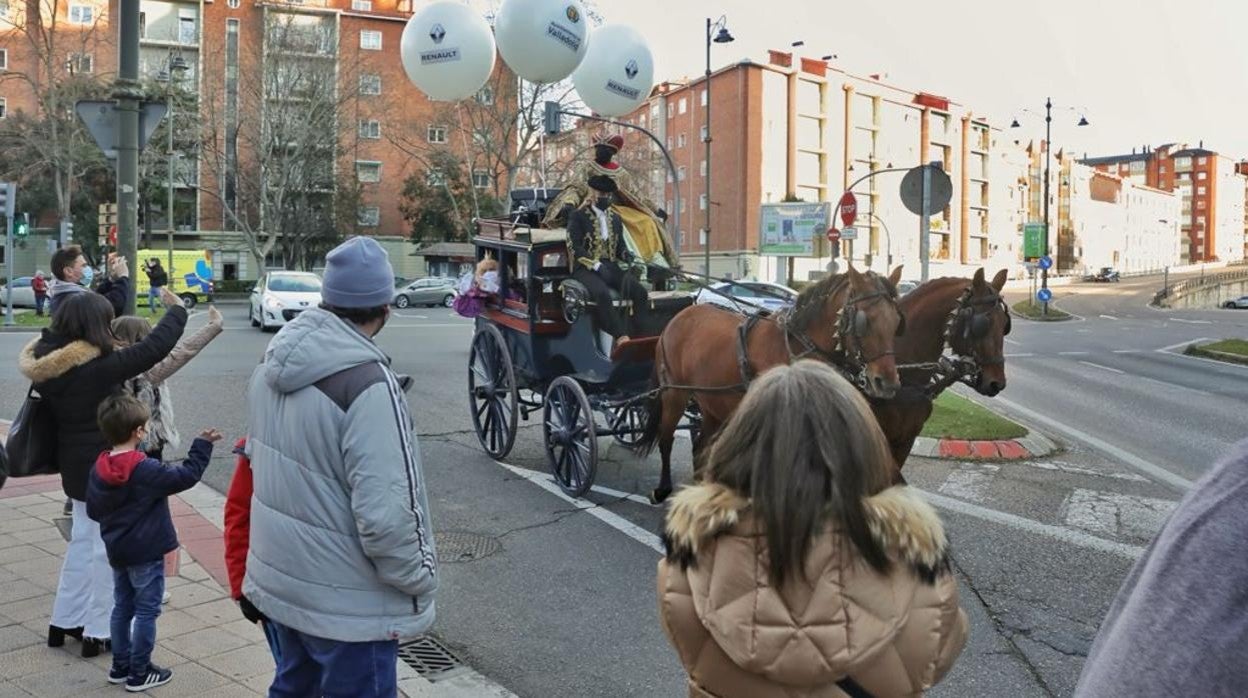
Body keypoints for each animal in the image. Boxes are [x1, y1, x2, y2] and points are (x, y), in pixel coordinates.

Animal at [638, 264, 903, 499]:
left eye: (895, 321)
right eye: (864, 321)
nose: (887, 383)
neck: (796, 348)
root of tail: (679, 317)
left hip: (710, 401)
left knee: (701, 447)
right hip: (674, 393)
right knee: (666, 438)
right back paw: (662, 489)